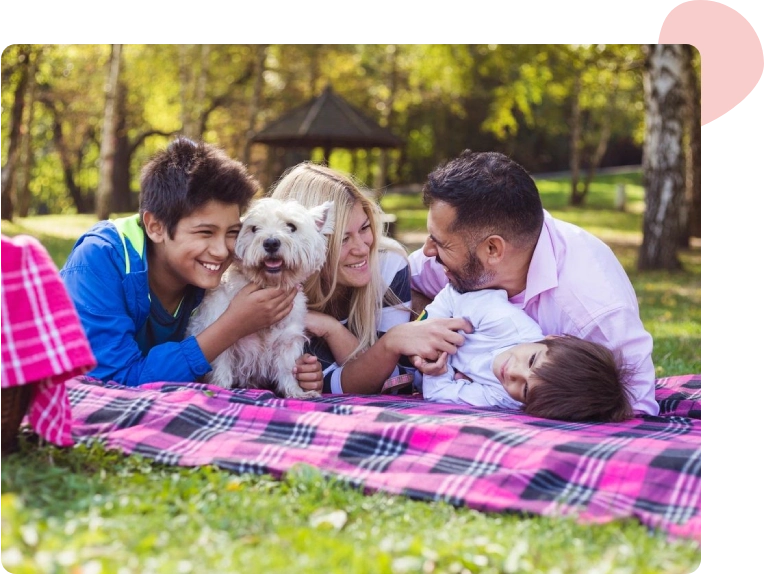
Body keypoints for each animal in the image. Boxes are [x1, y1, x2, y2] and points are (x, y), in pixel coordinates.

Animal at [186, 198, 334, 400]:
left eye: (291, 226)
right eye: (254, 228)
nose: (271, 243)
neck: (268, 285)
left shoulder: (287, 339)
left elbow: (287, 368)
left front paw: (297, 393)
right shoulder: (220, 332)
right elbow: (222, 366)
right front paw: (221, 388)